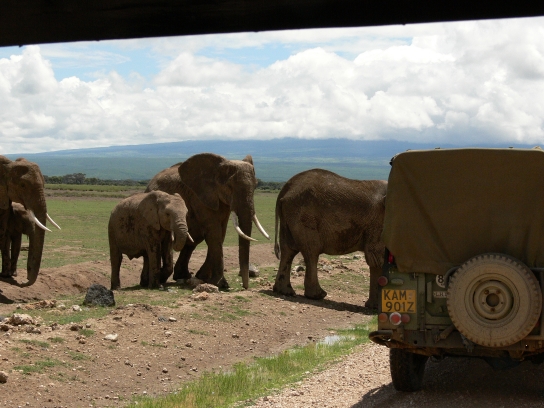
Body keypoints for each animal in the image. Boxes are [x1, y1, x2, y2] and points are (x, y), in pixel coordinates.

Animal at [146, 153, 269, 289]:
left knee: (193, 241)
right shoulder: (199, 197)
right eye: (229, 187)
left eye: (256, 185)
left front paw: (204, 278)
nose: (245, 287)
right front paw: (221, 284)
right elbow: (214, 232)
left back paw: (183, 276)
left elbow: (221, 233)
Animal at [273, 169, 387, 308]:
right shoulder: (378, 223)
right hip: (303, 216)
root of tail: (284, 190)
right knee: (311, 251)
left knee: (288, 250)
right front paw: (375, 308)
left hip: (289, 216)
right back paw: (317, 295)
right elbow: (377, 258)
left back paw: (285, 291)